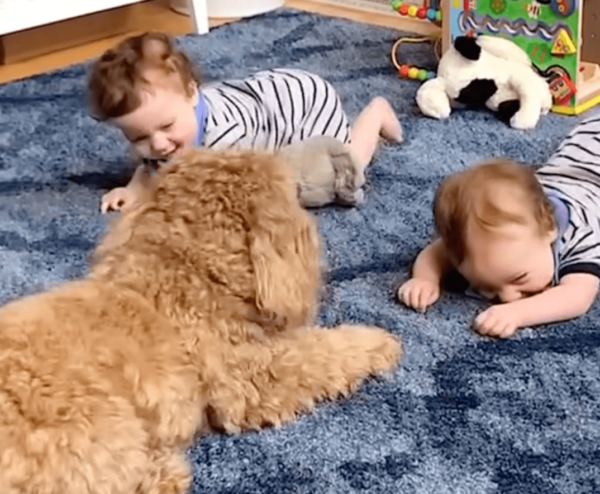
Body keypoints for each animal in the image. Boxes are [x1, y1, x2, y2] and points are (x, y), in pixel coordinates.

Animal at [1, 148, 404, 494]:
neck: (186, 274)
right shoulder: (253, 378)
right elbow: (325, 352)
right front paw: (379, 342)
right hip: (102, 425)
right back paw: (164, 472)